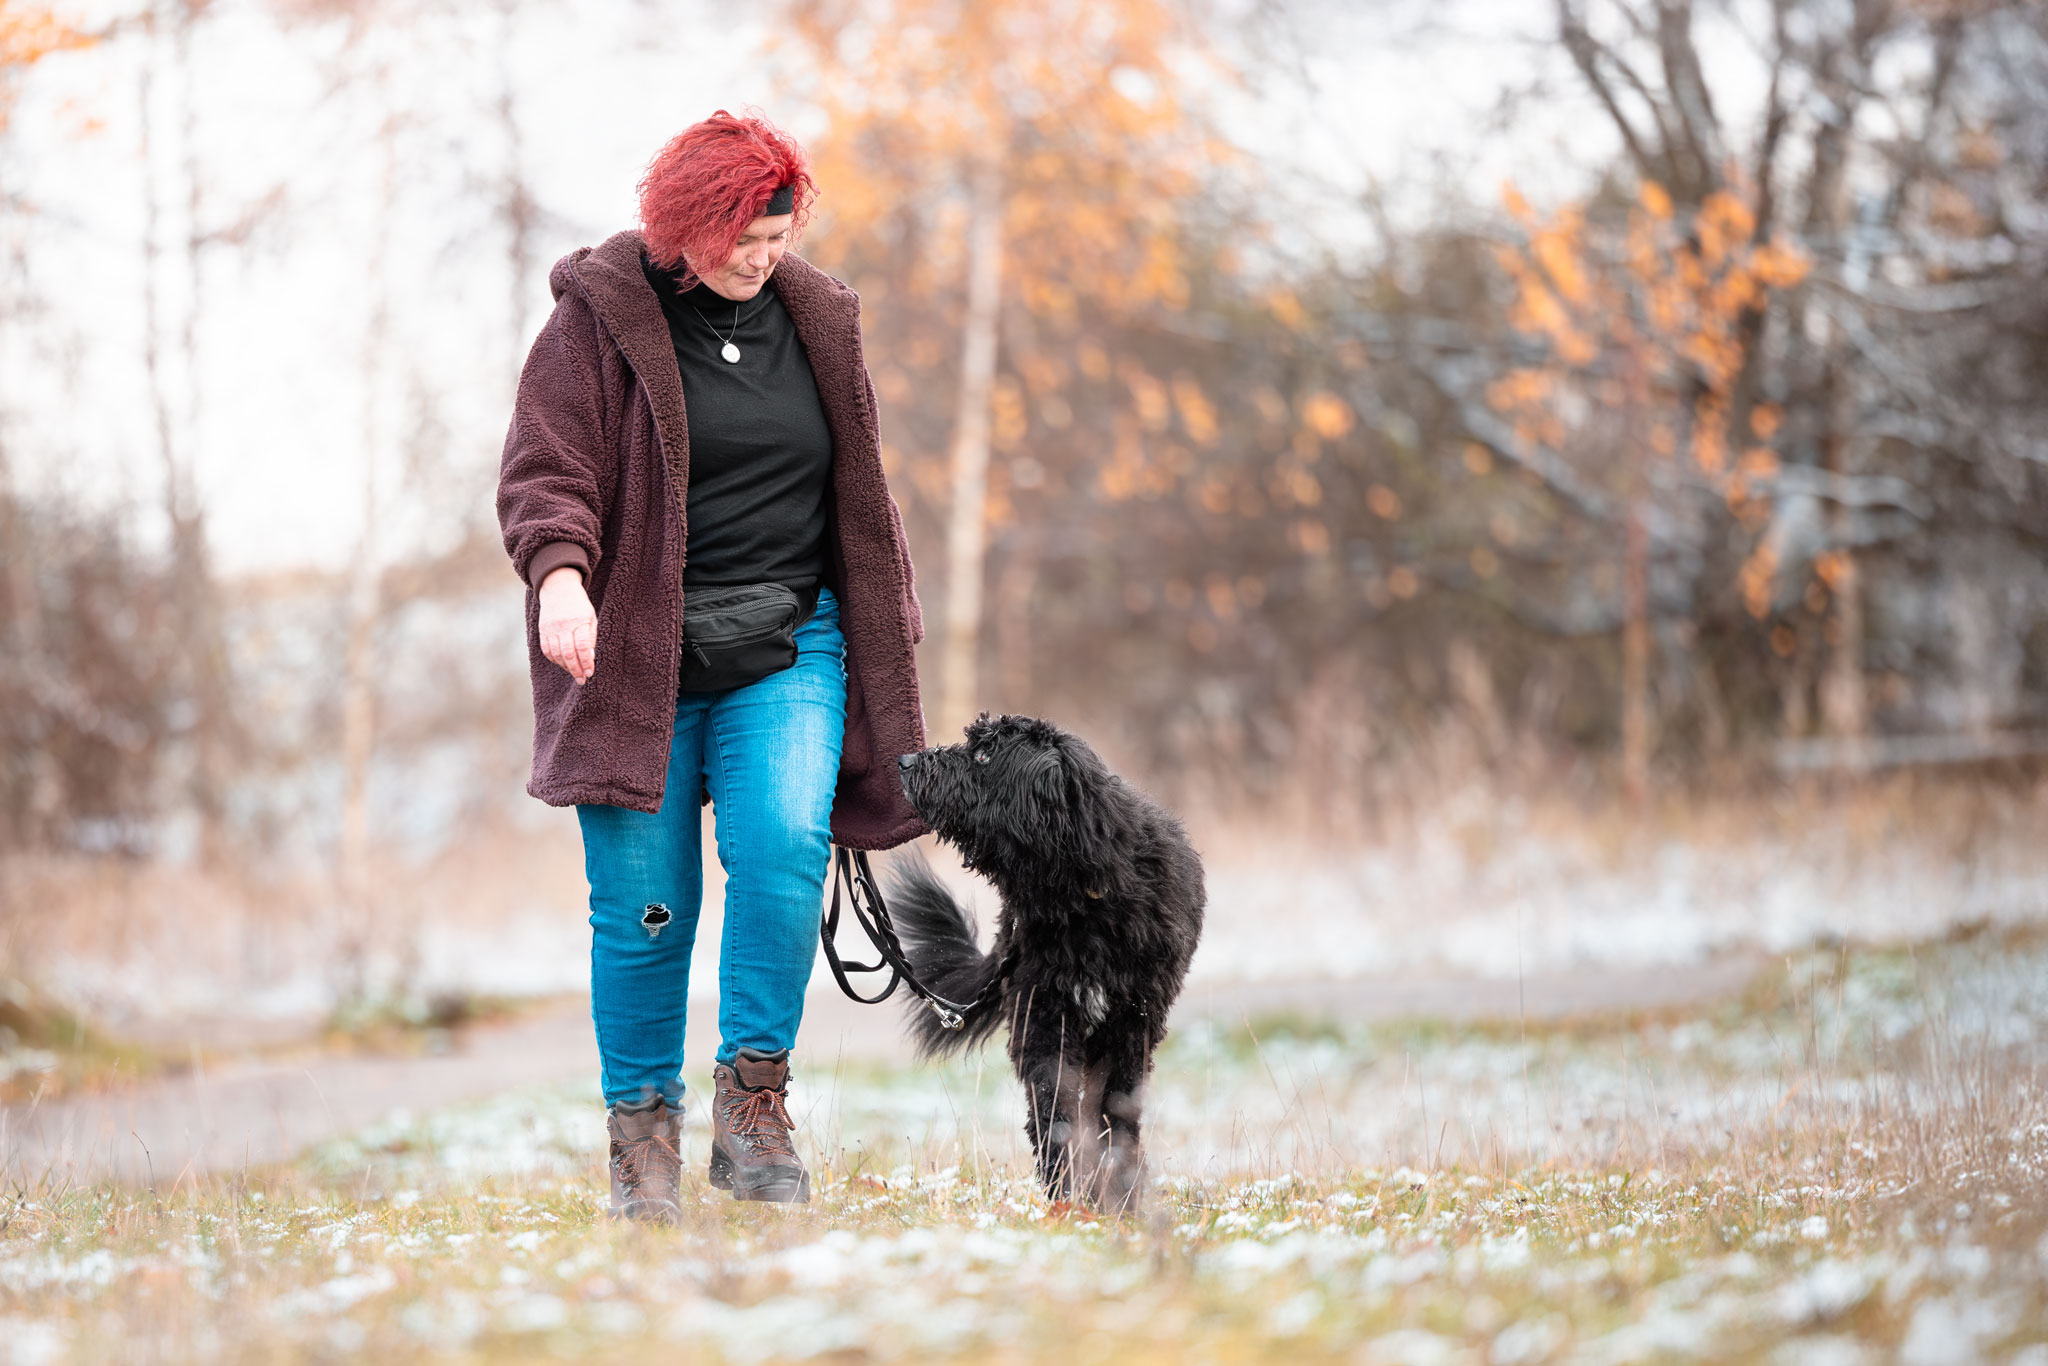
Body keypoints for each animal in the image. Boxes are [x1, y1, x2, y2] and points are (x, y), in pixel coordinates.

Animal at [892, 716, 1196, 1204]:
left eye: (984, 755)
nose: (905, 761)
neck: (1080, 895)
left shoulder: (1133, 1023)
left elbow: (1115, 1112)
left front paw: (1120, 1195)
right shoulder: (1042, 1015)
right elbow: (1054, 1109)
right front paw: (1064, 1192)